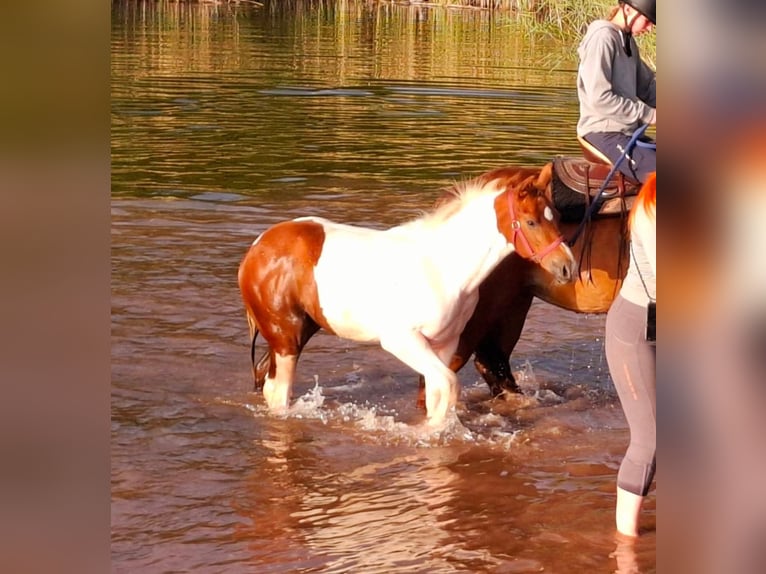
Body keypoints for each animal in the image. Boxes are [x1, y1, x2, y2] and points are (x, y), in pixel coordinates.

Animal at [237, 167, 577, 427]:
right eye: (531, 221)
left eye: (555, 217)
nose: (567, 267)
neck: (442, 268)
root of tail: (257, 247)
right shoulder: (402, 340)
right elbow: (448, 386)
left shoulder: (444, 344)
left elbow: (436, 394)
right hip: (286, 338)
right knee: (278, 392)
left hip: (300, 330)